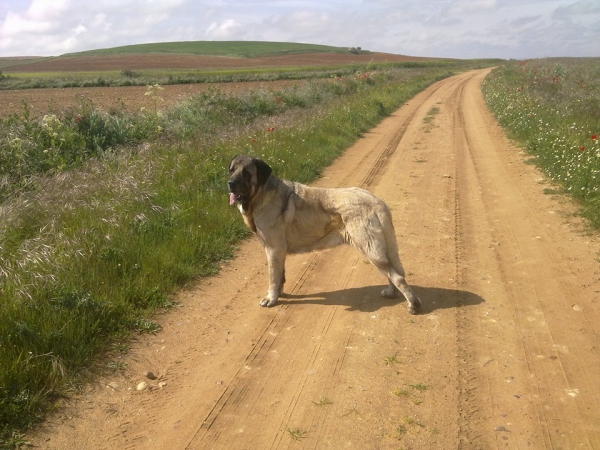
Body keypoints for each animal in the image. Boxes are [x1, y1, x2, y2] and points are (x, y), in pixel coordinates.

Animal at [227, 156, 420, 314]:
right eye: (231, 170)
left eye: (246, 173)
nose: (230, 183)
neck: (260, 194)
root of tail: (377, 202)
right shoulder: (279, 253)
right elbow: (280, 275)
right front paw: (280, 293)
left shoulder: (274, 249)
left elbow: (273, 277)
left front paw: (271, 298)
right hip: (381, 250)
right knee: (394, 272)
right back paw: (392, 293)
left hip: (370, 249)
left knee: (398, 277)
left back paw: (413, 305)